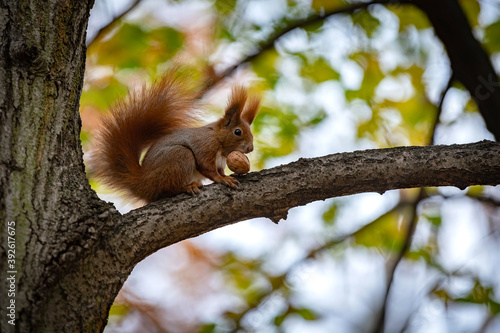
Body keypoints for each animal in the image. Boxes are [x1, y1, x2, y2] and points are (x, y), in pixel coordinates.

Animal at [91, 70, 262, 202]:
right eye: (238, 132)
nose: (250, 148)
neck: (219, 142)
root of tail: (142, 184)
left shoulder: (220, 163)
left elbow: (219, 171)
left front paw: (226, 175)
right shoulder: (204, 147)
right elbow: (208, 169)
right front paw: (223, 180)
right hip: (179, 157)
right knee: (167, 191)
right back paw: (188, 187)